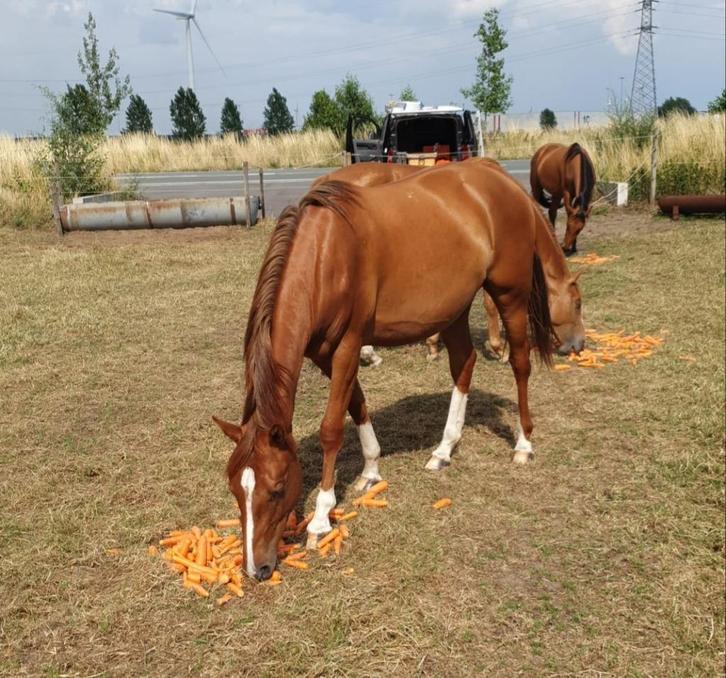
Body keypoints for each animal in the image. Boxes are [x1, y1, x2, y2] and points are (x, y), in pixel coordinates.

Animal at [213, 159, 585, 581]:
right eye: (235, 489)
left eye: (277, 488)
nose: (256, 568)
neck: (325, 255)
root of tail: (501, 179)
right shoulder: (326, 354)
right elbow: (356, 403)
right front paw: (371, 468)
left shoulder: (347, 346)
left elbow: (330, 428)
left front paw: (321, 517)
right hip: (454, 307)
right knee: (463, 365)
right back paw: (444, 448)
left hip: (511, 294)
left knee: (520, 363)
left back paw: (523, 443)